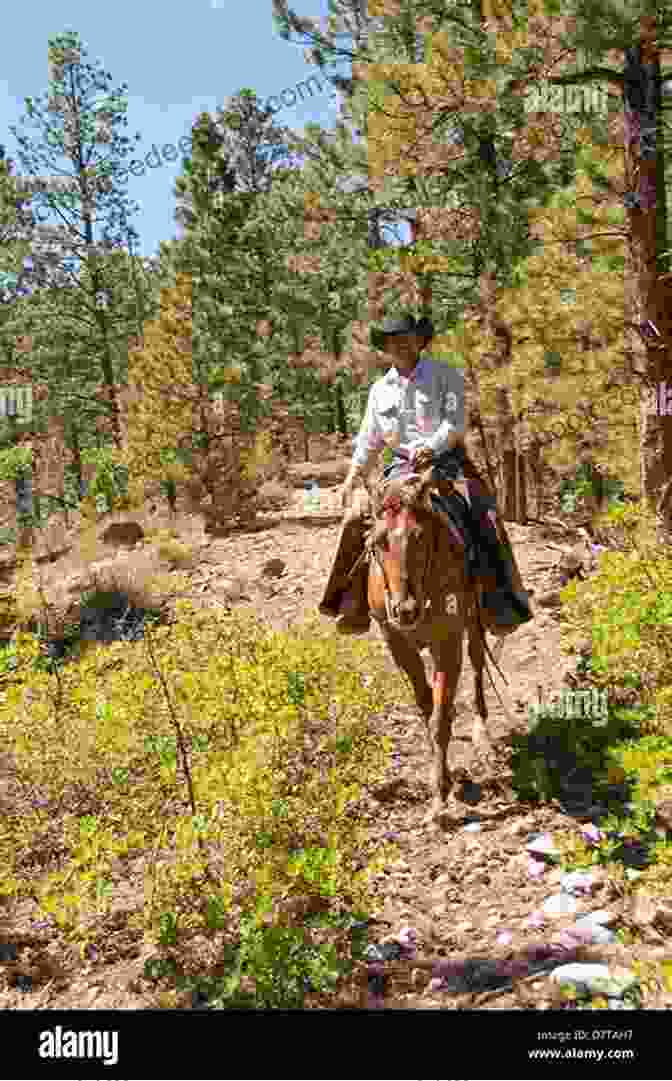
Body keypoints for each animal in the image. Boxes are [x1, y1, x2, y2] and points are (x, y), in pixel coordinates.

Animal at [363, 460, 501, 821]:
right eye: (377, 541)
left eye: (421, 537)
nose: (405, 610)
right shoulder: (397, 644)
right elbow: (426, 706)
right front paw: (439, 774)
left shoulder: (448, 643)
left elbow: (440, 717)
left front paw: (440, 793)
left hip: (472, 622)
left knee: (478, 665)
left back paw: (482, 735)